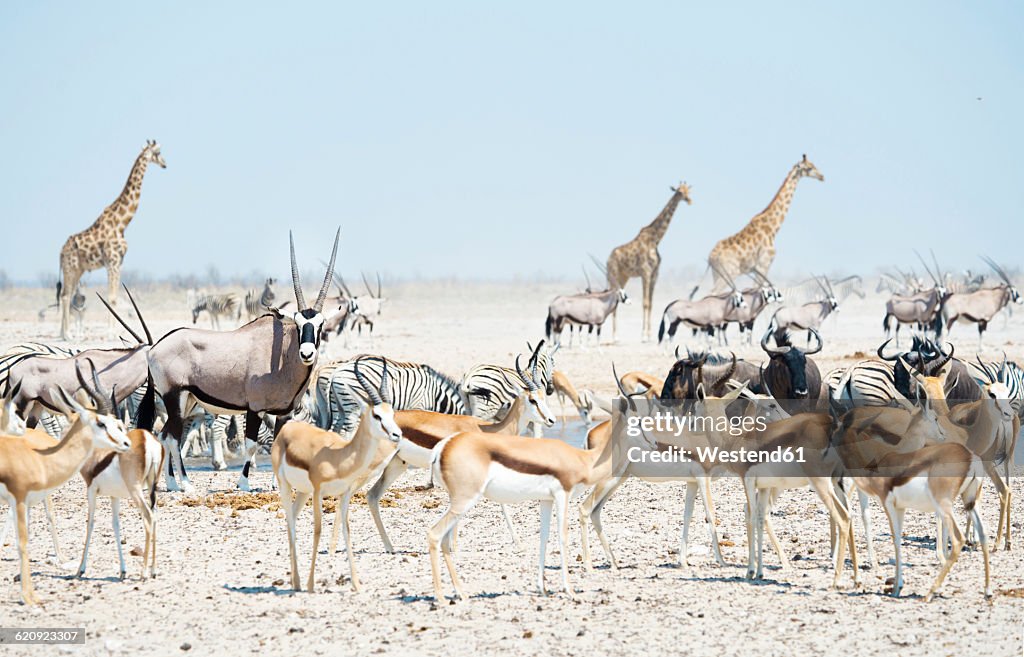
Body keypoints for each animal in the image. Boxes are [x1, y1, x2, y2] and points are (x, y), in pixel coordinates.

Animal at [57, 141, 164, 339]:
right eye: (158, 152)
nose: (165, 164)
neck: (122, 223)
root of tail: (60, 252)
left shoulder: (119, 262)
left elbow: (114, 297)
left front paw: (112, 332)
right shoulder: (112, 261)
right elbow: (112, 297)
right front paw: (111, 333)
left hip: (78, 270)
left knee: (65, 294)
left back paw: (62, 333)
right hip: (70, 268)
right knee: (66, 296)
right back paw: (67, 334)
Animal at [313, 352, 468, 433]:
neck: (434, 393)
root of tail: (336, 372)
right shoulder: (418, 405)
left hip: (336, 404)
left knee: (335, 427)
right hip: (351, 405)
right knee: (345, 429)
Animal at [602, 180, 692, 339]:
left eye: (688, 191)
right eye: (680, 192)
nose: (689, 200)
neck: (655, 240)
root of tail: (608, 258)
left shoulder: (655, 274)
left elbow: (651, 303)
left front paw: (650, 334)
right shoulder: (645, 272)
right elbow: (645, 303)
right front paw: (643, 335)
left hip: (624, 277)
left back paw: (616, 336)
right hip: (613, 275)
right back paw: (614, 336)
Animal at [700, 154, 819, 294]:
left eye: (814, 165)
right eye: (809, 168)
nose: (822, 176)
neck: (773, 229)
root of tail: (711, 257)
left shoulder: (759, 267)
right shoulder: (764, 263)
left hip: (717, 274)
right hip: (729, 273)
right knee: (712, 293)